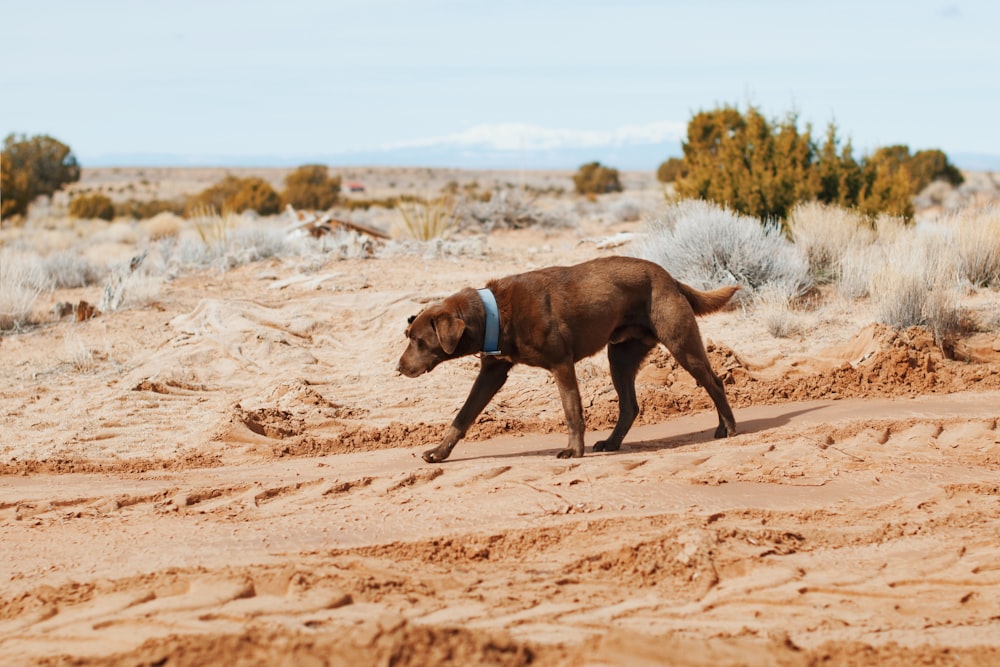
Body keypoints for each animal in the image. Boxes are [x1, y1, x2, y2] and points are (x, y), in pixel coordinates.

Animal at [394, 256, 740, 464]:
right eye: (409, 335)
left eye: (419, 341)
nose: (398, 368)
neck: (495, 314)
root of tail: (670, 277)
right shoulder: (492, 372)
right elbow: (462, 416)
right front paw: (439, 452)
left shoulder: (561, 364)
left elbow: (572, 410)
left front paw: (574, 450)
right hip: (620, 357)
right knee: (630, 406)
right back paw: (611, 443)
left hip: (681, 345)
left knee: (715, 382)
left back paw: (728, 428)